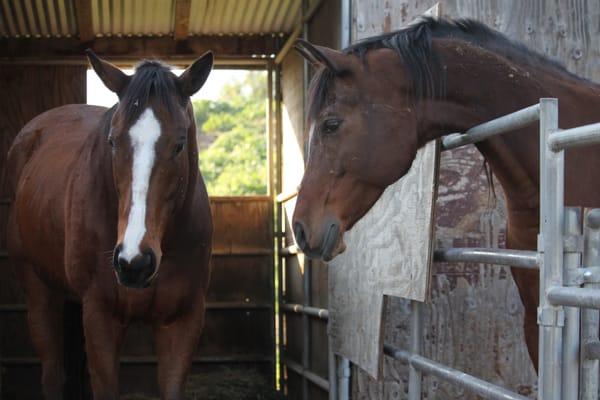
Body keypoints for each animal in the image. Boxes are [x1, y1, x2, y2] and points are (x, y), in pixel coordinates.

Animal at [4, 51, 214, 398]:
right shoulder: (100, 316)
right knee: (52, 374)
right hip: (38, 291)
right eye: (113, 141)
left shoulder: (183, 320)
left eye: (180, 144)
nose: (134, 262)